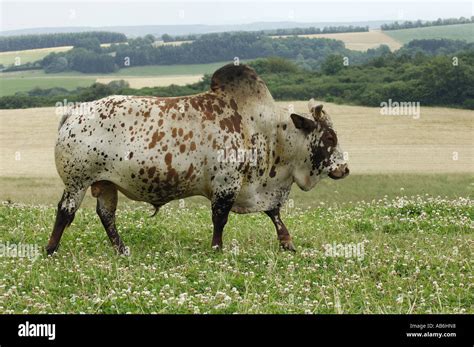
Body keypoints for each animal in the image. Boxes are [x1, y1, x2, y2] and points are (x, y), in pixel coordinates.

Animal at [47, 64, 348, 256]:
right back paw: (51, 250)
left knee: (107, 216)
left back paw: (122, 250)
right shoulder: (226, 185)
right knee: (65, 212)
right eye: (329, 137)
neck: (266, 130)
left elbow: (274, 214)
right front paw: (216, 249)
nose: (344, 169)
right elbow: (220, 219)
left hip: (106, 185)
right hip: (77, 183)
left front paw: (288, 243)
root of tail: (74, 112)